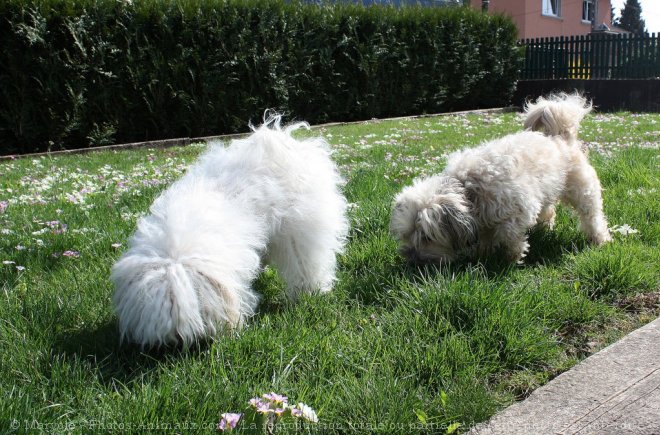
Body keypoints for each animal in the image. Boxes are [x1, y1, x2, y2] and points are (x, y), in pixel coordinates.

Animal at [390, 93, 612, 264]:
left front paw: (511, 259)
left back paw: (599, 239)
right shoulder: (483, 220)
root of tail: (560, 137)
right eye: (406, 235)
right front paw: (483, 254)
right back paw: (545, 227)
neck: (469, 189)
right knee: (549, 211)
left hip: (583, 191)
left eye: (427, 237)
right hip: (547, 190)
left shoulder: (516, 213)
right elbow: (486, 238)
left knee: (592, 216)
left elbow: (509, 237)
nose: (412, 260)